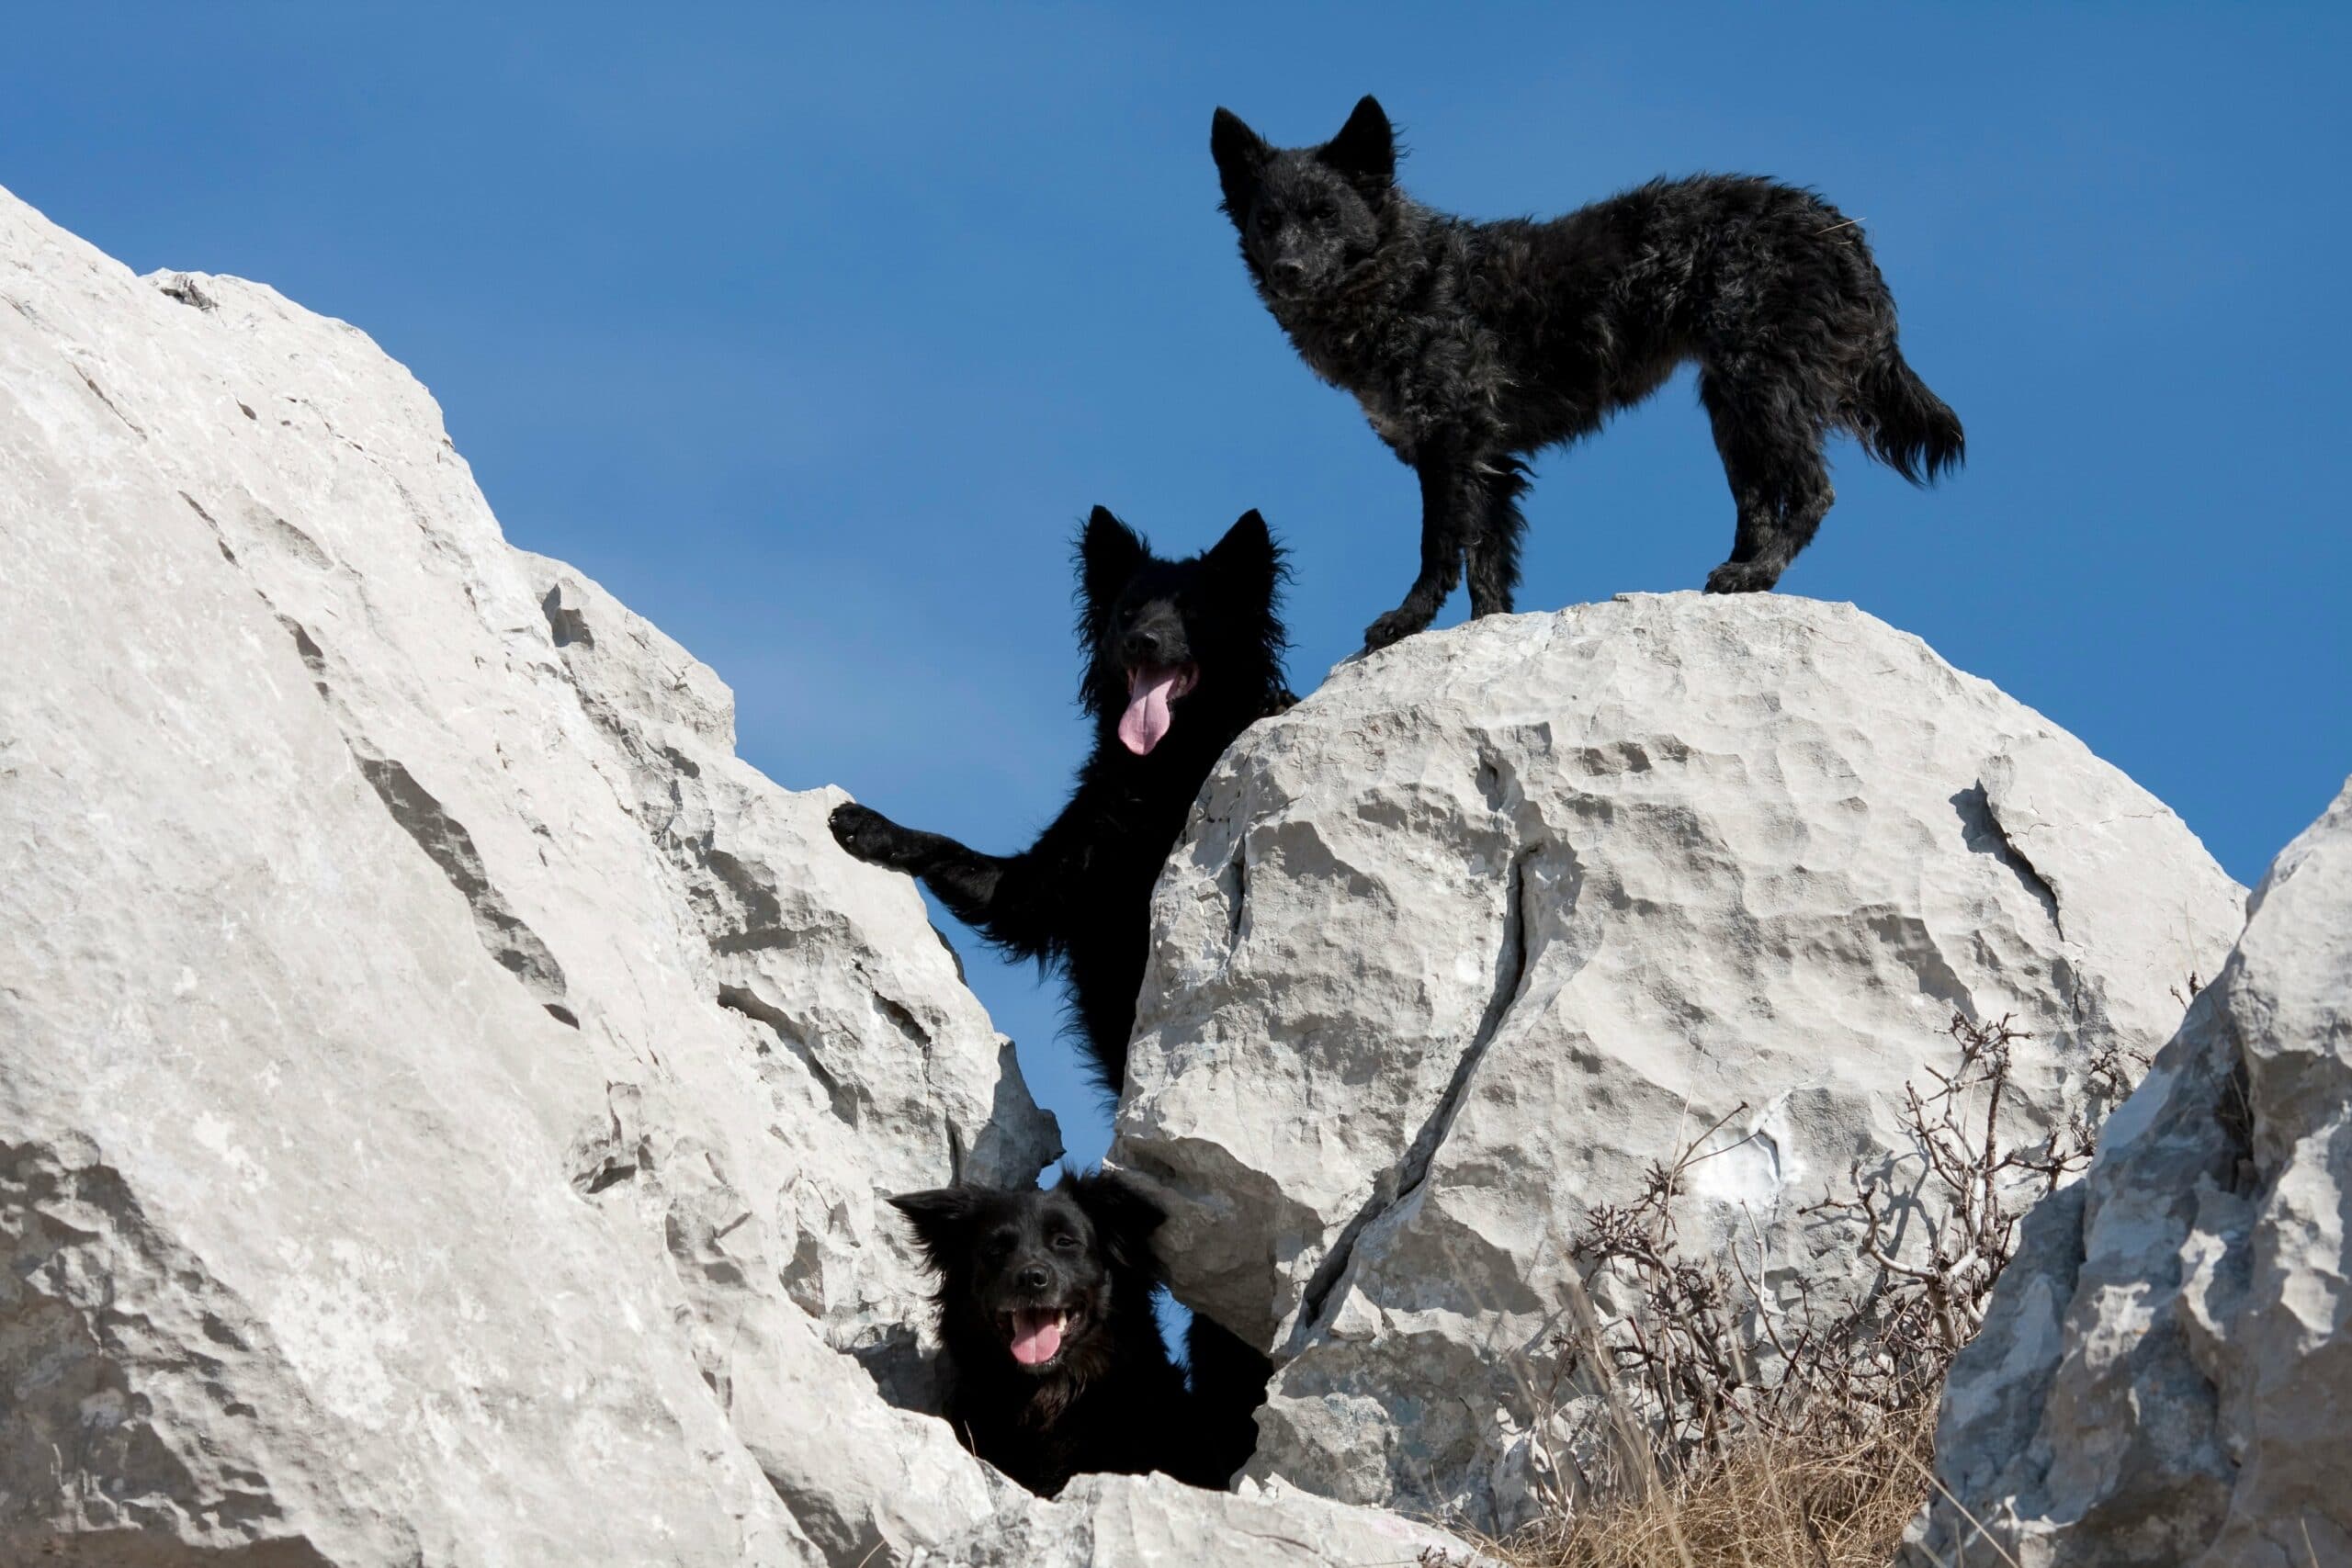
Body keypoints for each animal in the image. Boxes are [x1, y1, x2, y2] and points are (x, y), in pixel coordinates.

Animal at [1213, 96, 1966, 649]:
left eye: (1325, 215)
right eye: (1268, 219)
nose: (1288, 270)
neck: (1411, 280)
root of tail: (1841, 228)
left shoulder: (1449, 443)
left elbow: (1439, 550)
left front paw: (1405, 622)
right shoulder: (1489, 462)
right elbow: (1488, 570)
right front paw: (1484, 635)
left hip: (1761, 386)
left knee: (1814, 491)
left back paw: (1754, 574)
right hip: (1731, 404)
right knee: (1758, 502)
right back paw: (1733, 578)